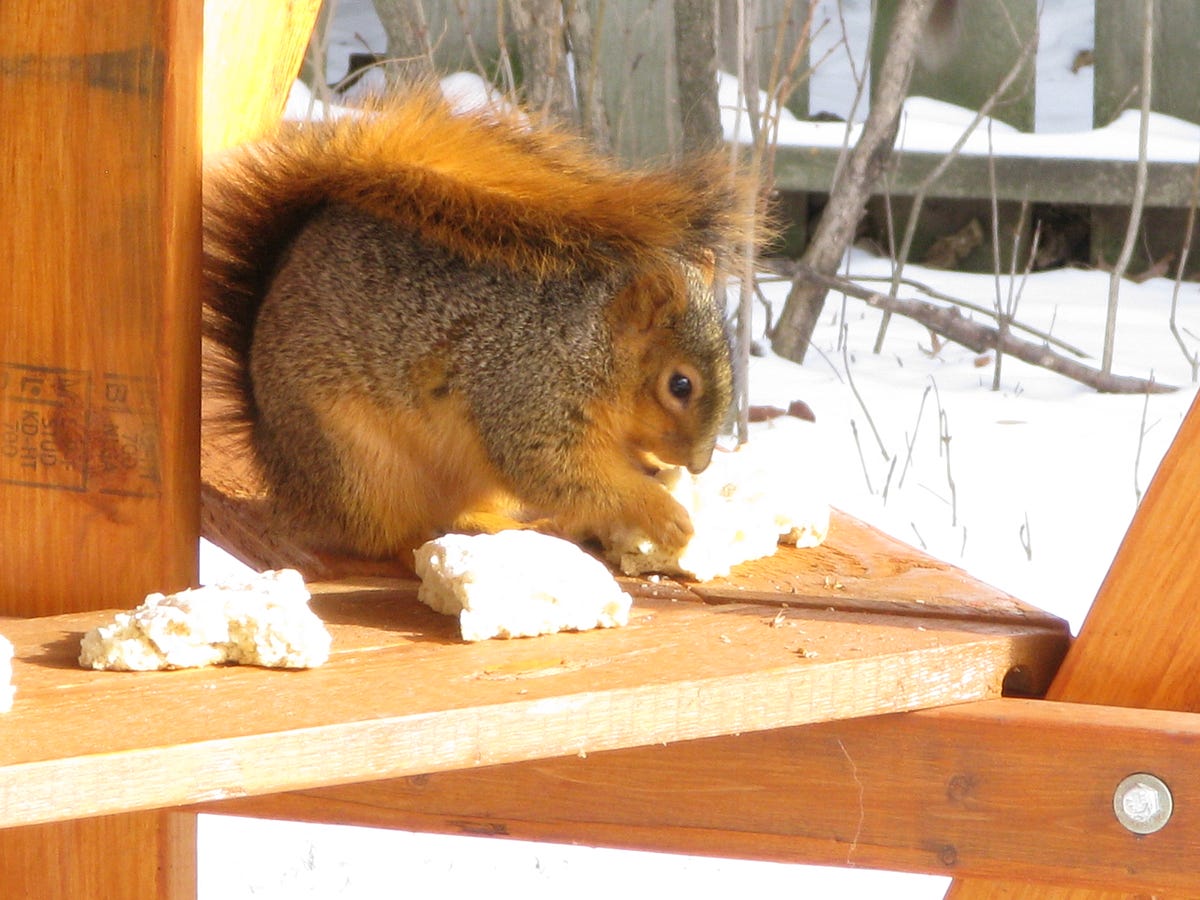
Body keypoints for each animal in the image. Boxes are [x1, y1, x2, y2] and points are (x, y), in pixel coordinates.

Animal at [202, 90, 753, 561]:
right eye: (679, 385)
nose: (699, 464)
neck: (590, 338)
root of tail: (275, 454)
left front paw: (656, 474)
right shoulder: (527, 389)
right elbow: (554, 470)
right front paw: (661, 512)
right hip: (355, 463)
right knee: (386, 536)